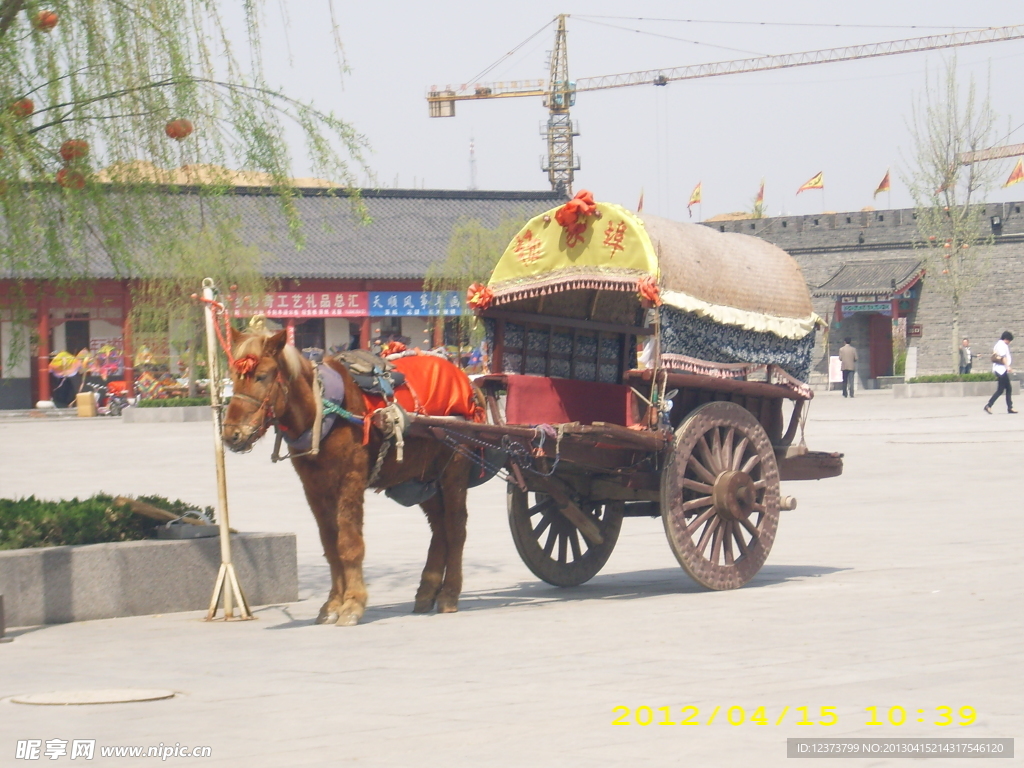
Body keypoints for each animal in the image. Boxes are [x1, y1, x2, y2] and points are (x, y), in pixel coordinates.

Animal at [220, 329, 475, 626]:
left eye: (261, 376)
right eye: (233, 377)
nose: (232, 434)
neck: (322, 412)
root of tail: (463, 378)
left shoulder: (350, 479)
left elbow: (349, 543)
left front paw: (353, 603)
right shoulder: (314, 487)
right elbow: (330, 545)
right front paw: (332, 604)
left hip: (455, 467)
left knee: (455, 527)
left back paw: (449, 593)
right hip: (423, 476)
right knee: (439, 528)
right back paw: (427, 590)